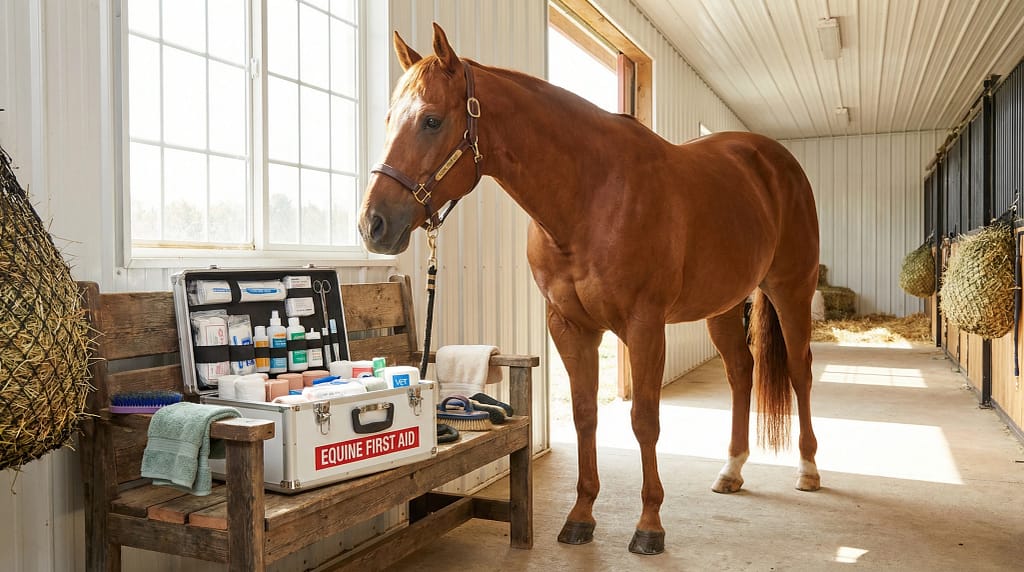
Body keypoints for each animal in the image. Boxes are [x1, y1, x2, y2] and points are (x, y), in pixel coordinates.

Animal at [359, 23, 821, 555]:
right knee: (741, 372)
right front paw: (580, 516)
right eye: (389, 119)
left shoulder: (645, 327)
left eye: (432, 121)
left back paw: (809, 469)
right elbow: (584, 416)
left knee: (800, 371)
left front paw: (649, 525)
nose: (372, 224)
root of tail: (774, 160)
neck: (592, 195)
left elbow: (644, 420)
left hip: (790, 291)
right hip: (723, 306)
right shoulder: (570, 326)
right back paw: (732, 469)